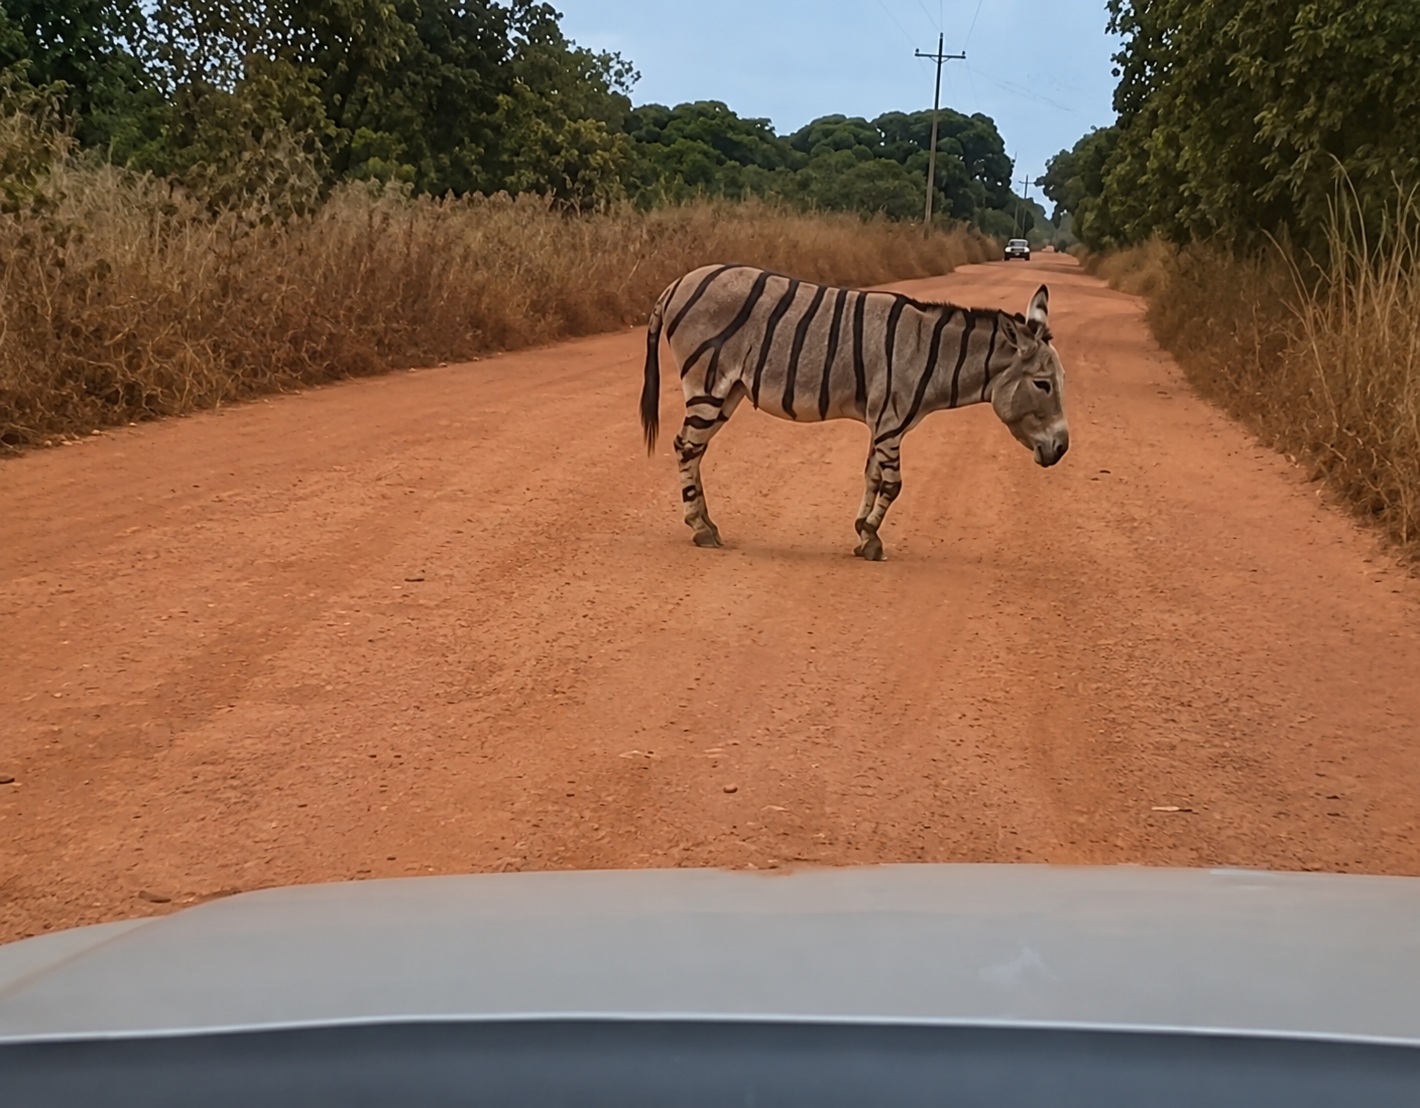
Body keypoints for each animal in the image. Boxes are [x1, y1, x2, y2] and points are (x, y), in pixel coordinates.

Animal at [639, 264, 1070, 560]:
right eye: (1043, 385)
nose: (1062, 449)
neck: (932, 356)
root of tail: (677, 284)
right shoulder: (891, 422)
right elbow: (893, 485)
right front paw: (872, 539)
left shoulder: (882, 423)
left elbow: (872, 477)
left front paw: (863, 533)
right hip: (707, 386)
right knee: (685, 448)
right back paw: (700, 530)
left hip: (728, 392)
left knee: (694, 450)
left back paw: (707, 524)